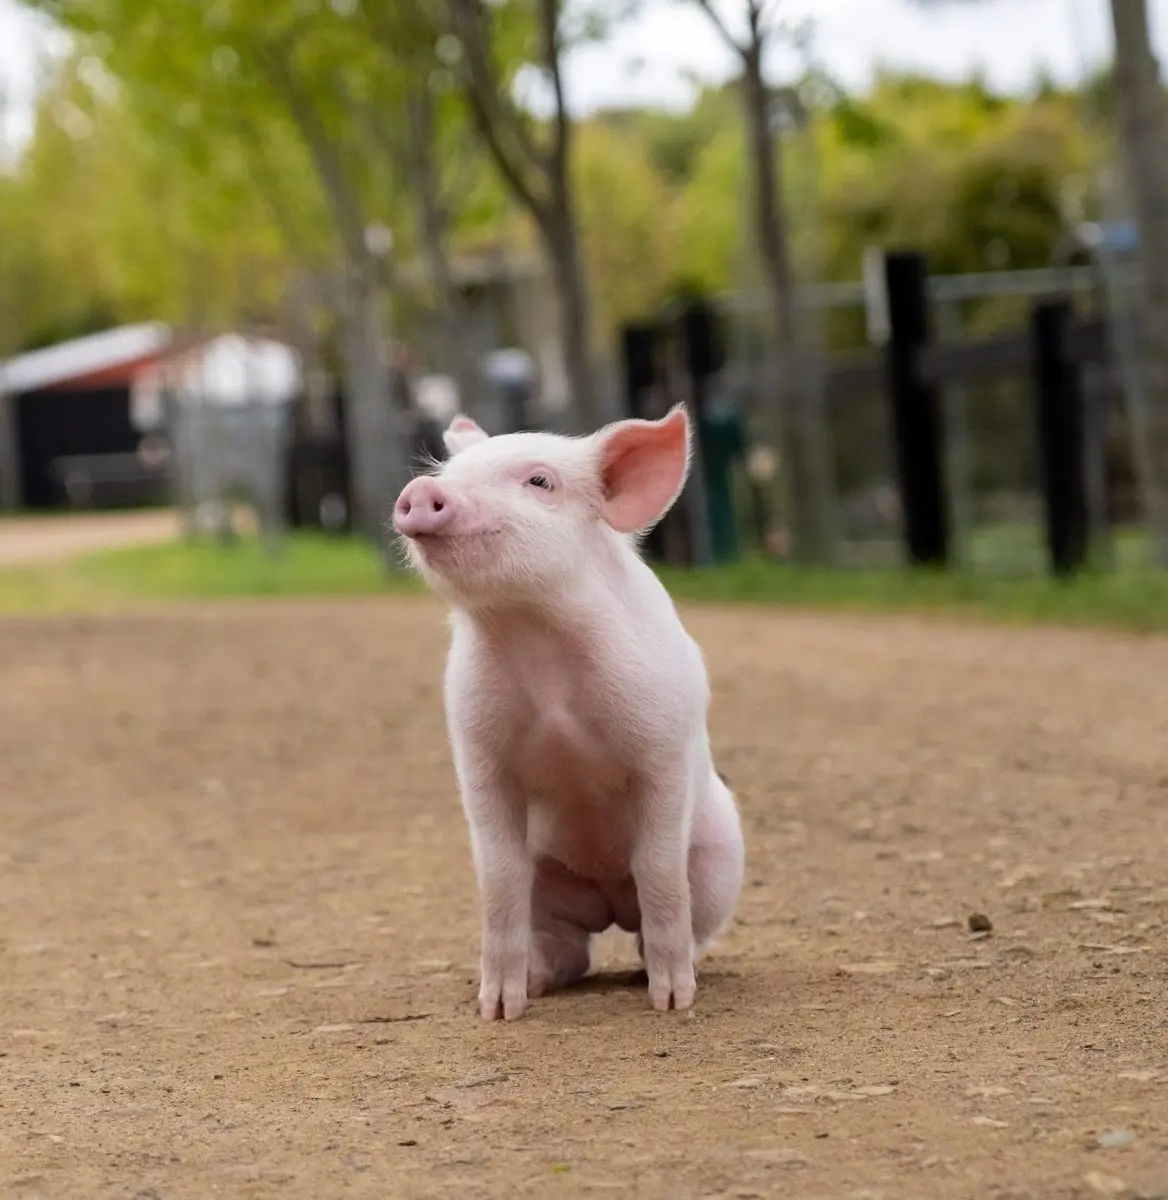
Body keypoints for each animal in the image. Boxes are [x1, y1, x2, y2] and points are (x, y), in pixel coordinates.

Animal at [392, 403, 745, 1020]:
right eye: (449, 471)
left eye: (540, 481)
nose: (421, 491)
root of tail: (606, 902)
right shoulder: (478, 750)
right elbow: (500, 879)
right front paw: (497, 1011)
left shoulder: (664, 746)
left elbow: (659, 869)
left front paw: (671, 1003)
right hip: (555, 890)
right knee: (568, 946)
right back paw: (538, 980)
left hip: (721, 861)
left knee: (670, 922)